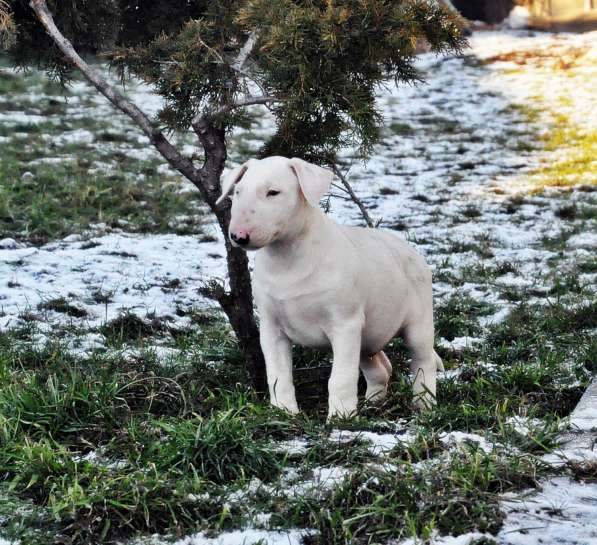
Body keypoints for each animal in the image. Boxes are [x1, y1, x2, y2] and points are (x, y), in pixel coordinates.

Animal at [217, 155, 440, 418]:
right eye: (237, 192)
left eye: (273, 192)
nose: (238, 236)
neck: (287, 261)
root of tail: (411, 251)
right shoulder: (272, 328)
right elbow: (278, 375)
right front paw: (285, 413)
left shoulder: (345, 324)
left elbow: (341, 377)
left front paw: (340, 417)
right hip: (366, 337)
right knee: (380, 369)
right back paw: (372, 403)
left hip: (417, 323)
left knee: (423, 361)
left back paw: (424, 405)